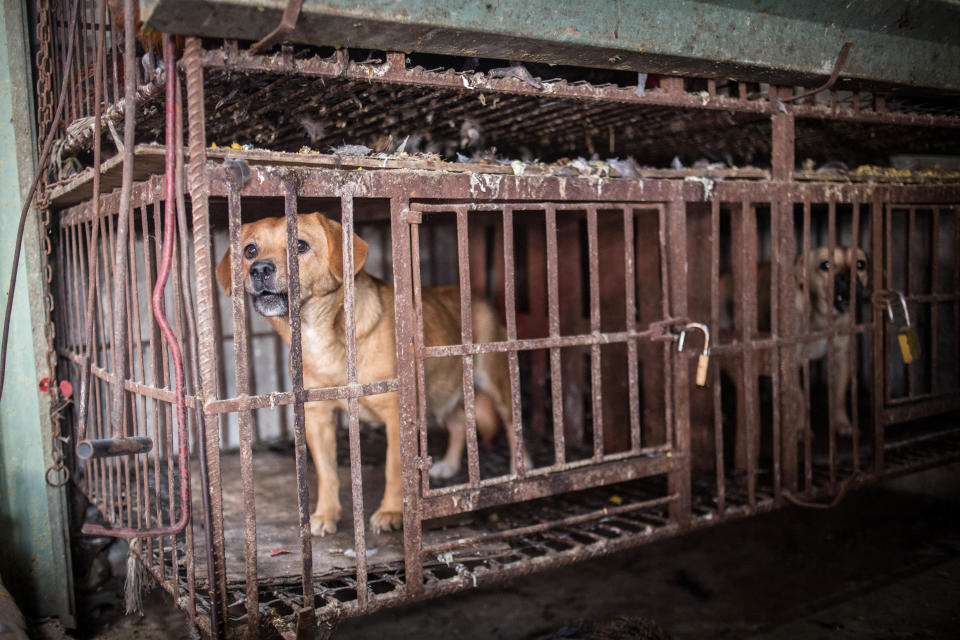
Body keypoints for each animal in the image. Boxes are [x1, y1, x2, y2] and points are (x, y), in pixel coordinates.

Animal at [217, 214, 520, 536]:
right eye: (250, 250)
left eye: (300, 245)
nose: (259, 269)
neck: (319, 333)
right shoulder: (317, 417)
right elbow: (327, 474)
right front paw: (326, 514)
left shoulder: (396, 414)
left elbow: (394, 471)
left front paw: (391, 512)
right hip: (439, 395)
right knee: (460, 423)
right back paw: (449, 466)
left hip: (496, 383)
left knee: (513, 428)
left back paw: (518, 474)